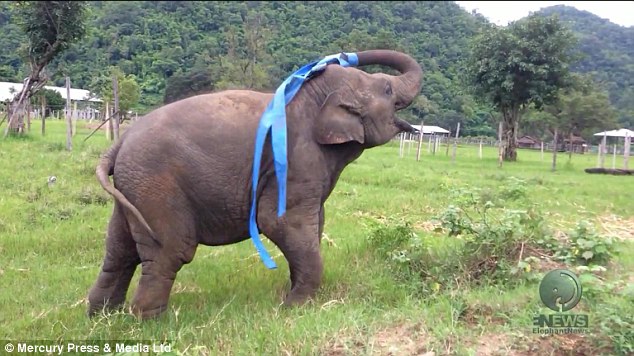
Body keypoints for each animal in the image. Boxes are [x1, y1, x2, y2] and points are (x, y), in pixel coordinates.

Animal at [84, 48, 420, 318]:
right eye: (387, 88)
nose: (345, 55)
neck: (312, 96)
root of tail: (120, 141)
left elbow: (312, 224)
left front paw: (294, 298)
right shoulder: (297, 160)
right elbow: (278, 221)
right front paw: (293, 308)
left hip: (133, 189)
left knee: (120, 251)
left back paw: (102, 316)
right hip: (156, 184)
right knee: (169, 251)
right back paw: (150, 322)